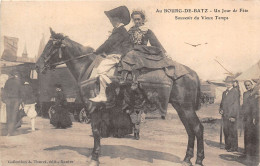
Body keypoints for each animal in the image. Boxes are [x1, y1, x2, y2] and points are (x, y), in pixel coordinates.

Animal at [35, 29, 204, 166]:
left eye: (50, 46)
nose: (37, 66)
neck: (87, 67)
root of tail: (193, 73)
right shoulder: (102, 110)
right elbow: (99, 130)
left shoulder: (92, 108)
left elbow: (96, 131)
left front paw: (94, 158)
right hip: (180, 108)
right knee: (190, 130)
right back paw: (187, 159)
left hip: (186, 108)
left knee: (197, 128)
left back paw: (199, 160)